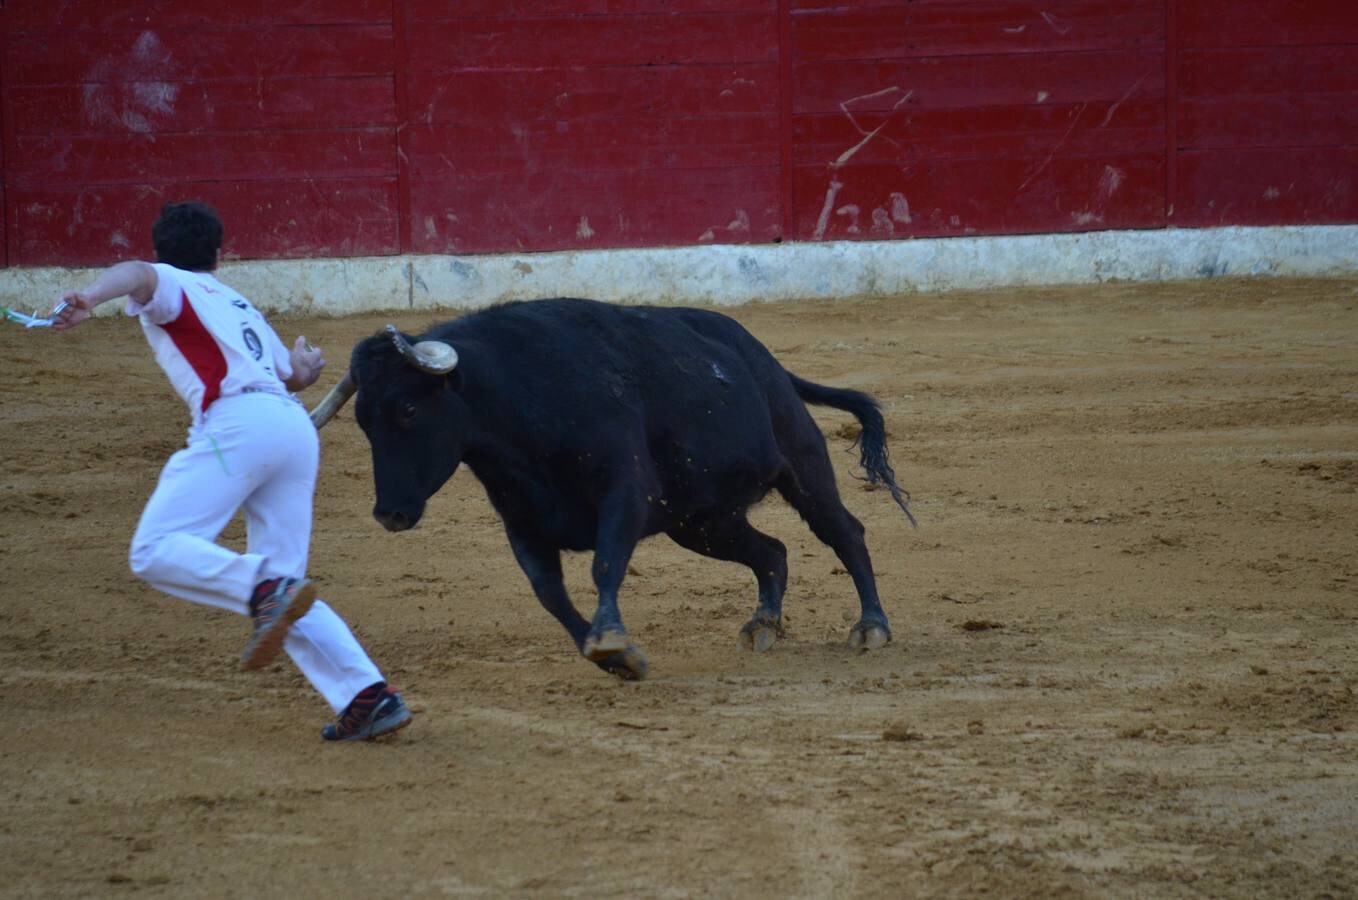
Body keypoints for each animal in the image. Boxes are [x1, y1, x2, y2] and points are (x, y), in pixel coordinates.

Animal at [312, 298, 918, 678]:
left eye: (409, 409)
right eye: (363, 420)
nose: (389, 513)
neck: (517, 397)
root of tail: (764, 360)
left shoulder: (624, 494)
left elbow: (604, 566)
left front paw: (610, 640)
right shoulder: (523, 522)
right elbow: (549, 593)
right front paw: (611, 656)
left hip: (801, 465)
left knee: (844, 532)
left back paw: (871, 627)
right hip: (702, 522)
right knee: (771, 551)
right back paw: (763, 625)